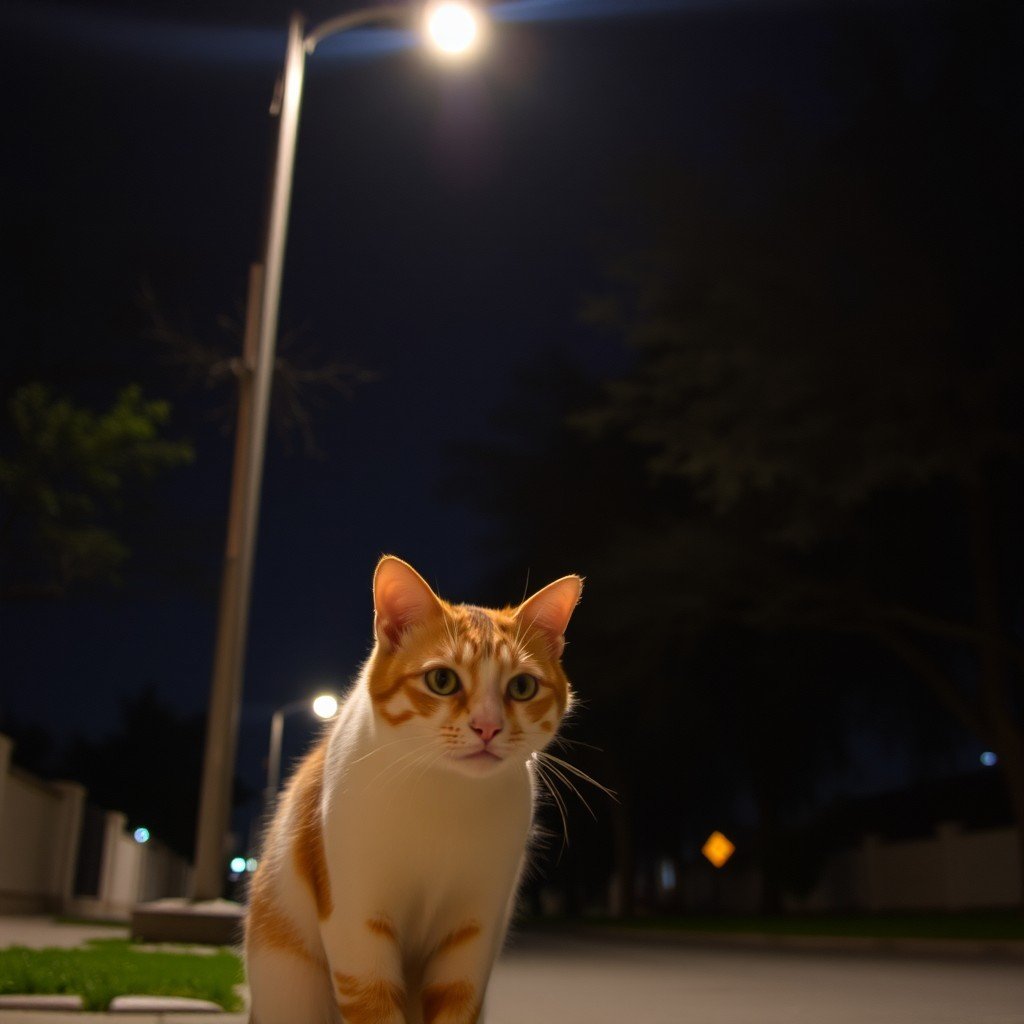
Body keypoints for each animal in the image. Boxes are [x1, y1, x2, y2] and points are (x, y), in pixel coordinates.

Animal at [245, 557, 585, 1024]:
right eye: (442, 680)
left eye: (522, 687)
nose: (488, 727)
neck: (445, 795)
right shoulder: (356, 923)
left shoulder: (473, 932)